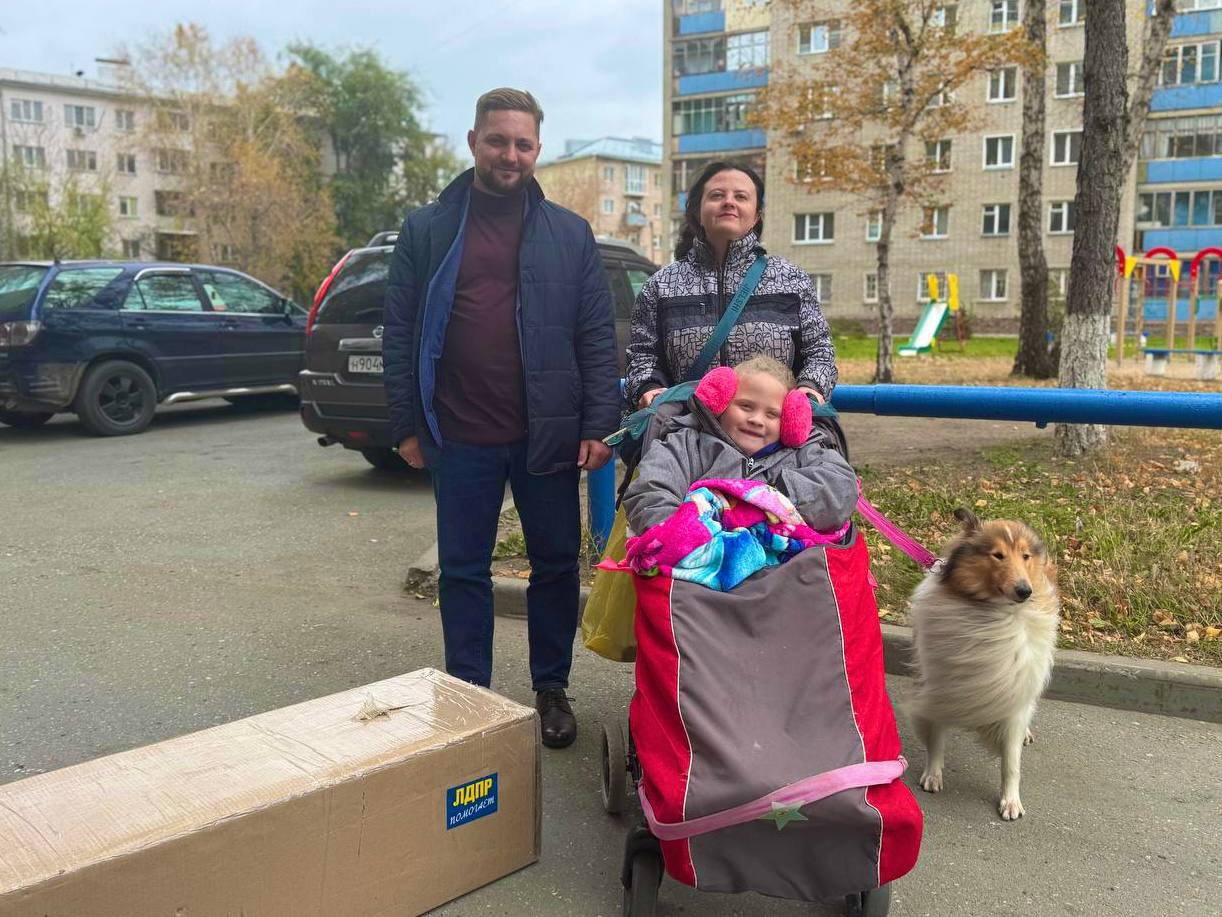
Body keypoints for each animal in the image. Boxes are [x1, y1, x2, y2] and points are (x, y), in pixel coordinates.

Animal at [907, 508, 1060, 821]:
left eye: (1025, 555)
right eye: (997, 555)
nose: (1025, 591)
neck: (991, 615)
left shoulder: (1012, 689)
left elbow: (1011, 762)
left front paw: (1011, 801)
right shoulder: (941, 682)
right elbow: (936, 737)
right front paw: (933, 775)